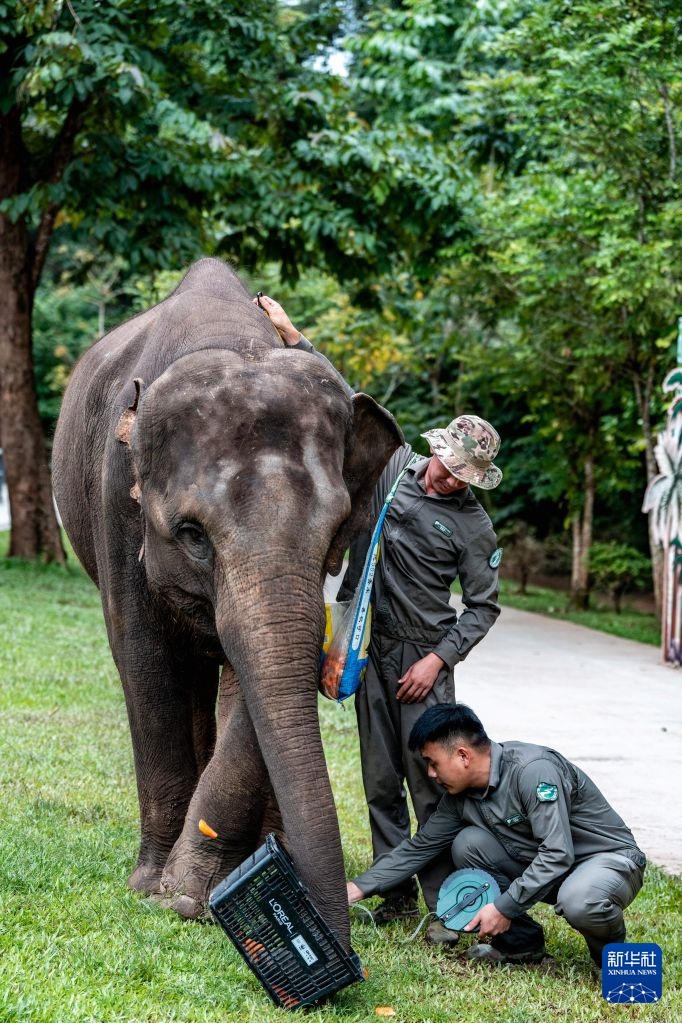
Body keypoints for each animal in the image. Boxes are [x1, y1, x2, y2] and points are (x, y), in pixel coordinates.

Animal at [52, 258, 402, 949]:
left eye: (336, 533)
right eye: (192, 535)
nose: (340, 944)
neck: (230, 340)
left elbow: (255, 674)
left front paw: (197, 889)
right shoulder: (116, 505)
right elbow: (143, 661)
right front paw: (161, 891)